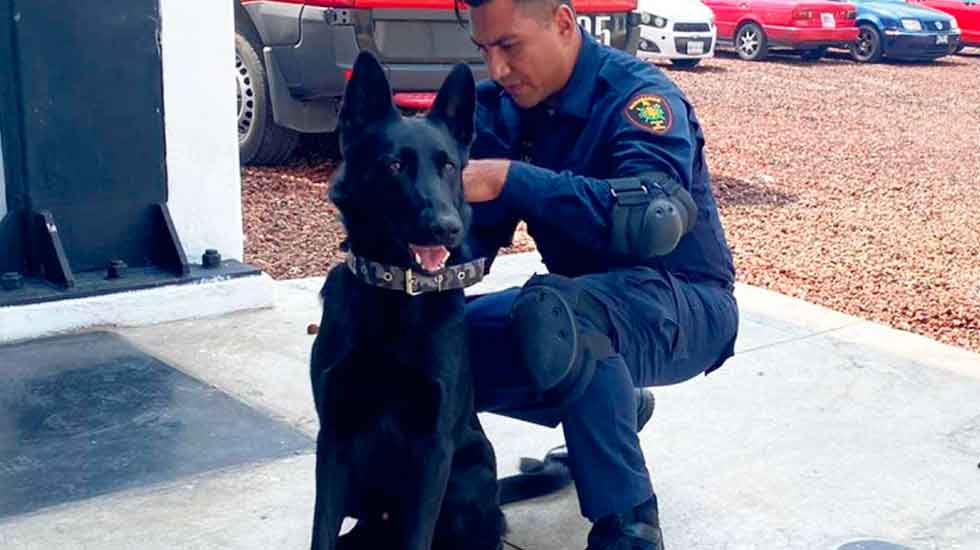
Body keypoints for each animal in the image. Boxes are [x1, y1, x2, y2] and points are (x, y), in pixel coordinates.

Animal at [308, 52, 506, 550]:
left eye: (449, 166)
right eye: (394, 165)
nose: (447, 228)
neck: (397, 293)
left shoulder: (434, 447)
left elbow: (418, 536)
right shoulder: (334, 437)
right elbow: (321, 532)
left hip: (470, 474)